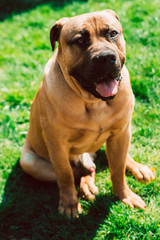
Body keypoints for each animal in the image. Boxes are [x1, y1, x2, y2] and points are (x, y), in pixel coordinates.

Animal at [19, 9, 154, 218]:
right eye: (80, 40)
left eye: (112, 33)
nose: (106, 57)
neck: (94, 102)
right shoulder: (57, 145)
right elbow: (65, 175)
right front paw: (69, 204)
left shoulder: (121, 132)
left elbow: (117, 170)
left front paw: (124, 195)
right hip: (29, 162)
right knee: (81, 172)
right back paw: (86, 187)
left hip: (121, 137)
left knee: (111, 161)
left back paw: (137, 169)